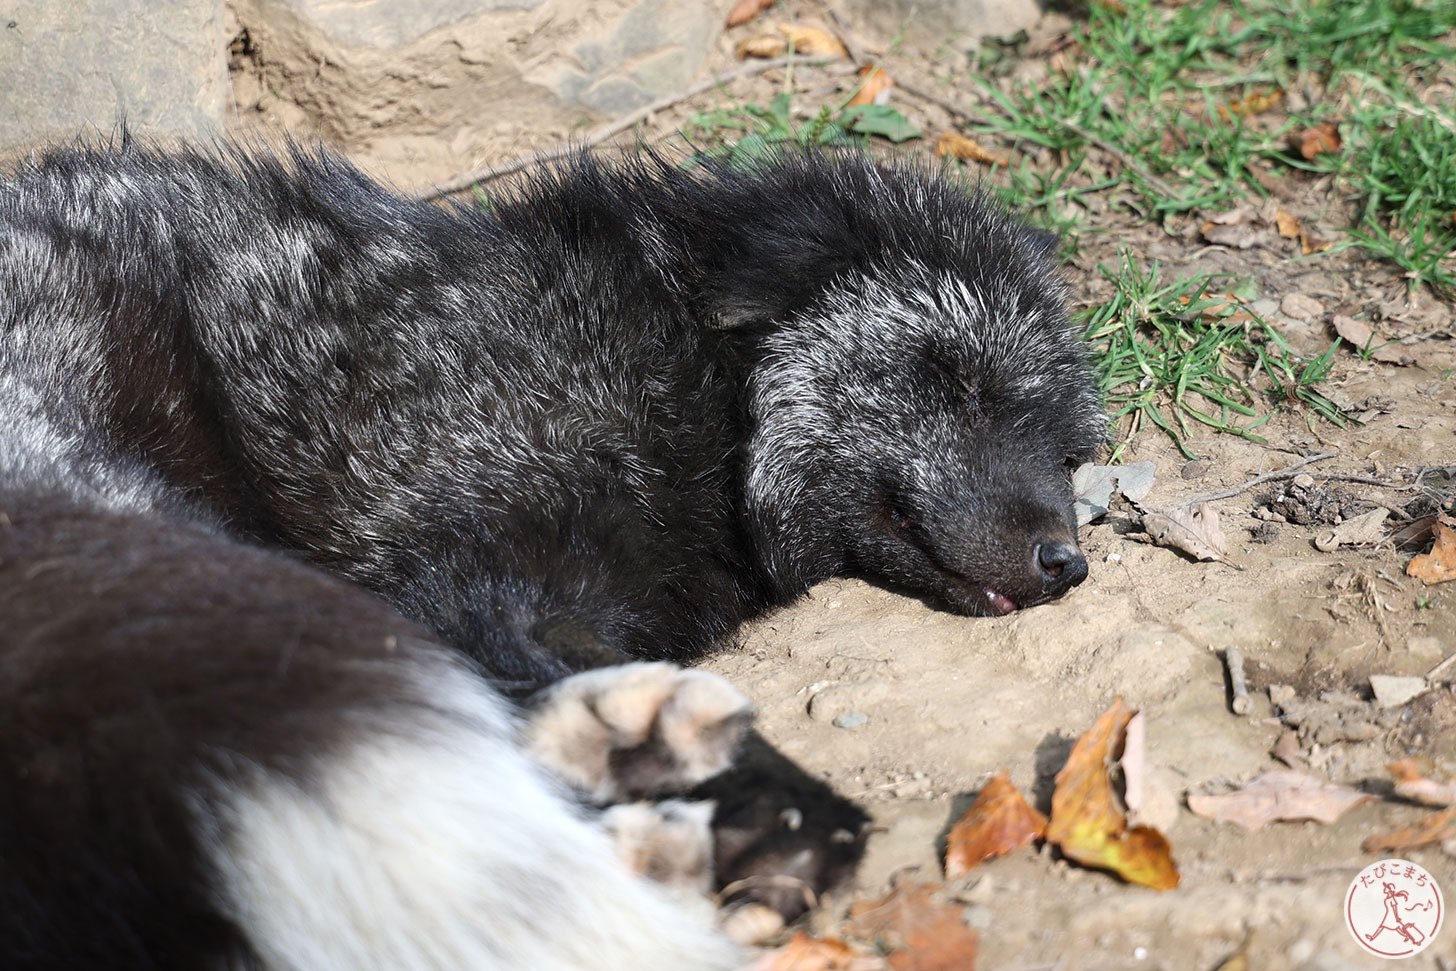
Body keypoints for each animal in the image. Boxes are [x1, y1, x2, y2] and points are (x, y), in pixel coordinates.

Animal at [0, 142, 1100, 971]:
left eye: (1066, 447)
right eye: (955, 382)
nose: (1065, 562)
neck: (686, 380)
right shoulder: (475, 569)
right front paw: (788, 828)